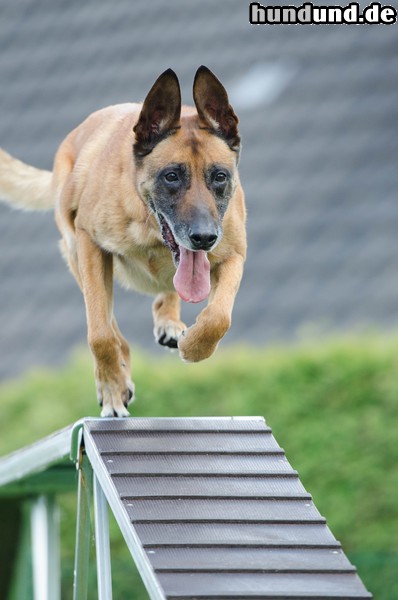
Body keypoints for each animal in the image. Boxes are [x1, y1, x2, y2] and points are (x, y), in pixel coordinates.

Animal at [0, 64, 246, 412]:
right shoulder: (89, 245)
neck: (151, 231)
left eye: (220, 176)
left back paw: (169, 321)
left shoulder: (235, 255)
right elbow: (101, 334)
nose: (204, 238)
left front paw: (194, 347)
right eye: (172, 176)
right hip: (76, 255)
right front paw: (113, 388)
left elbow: (218, 317)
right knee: (111, 327)